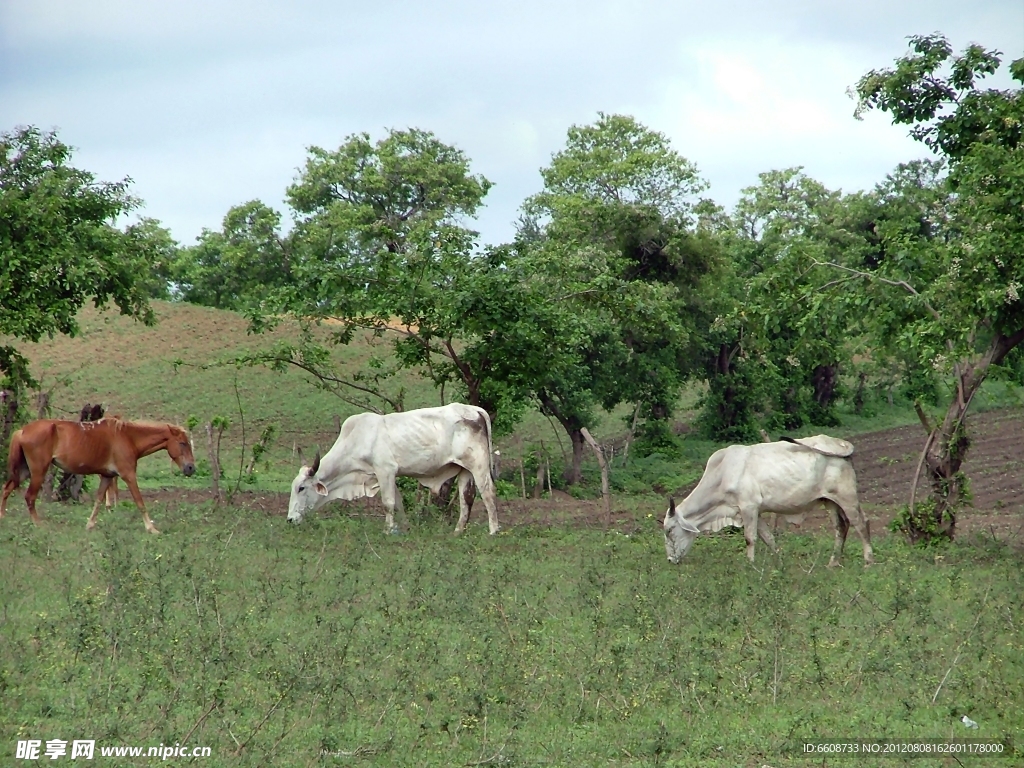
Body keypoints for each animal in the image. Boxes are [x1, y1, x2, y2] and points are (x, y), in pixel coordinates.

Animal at [0, 421, 194, 536]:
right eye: (182, 443)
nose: (191, 468)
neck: (127, 437)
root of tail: (22, 430)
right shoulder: (129, 475)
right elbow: (140, 501)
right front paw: (152, 528)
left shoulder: (107, 476)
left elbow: (99, 500)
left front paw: (90, 525)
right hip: (38, 472)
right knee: (29, 497)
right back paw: (38, 524)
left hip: (24, 471)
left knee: (6, 488)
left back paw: (3, 516)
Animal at [288, 403, 499, 536]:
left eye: (301, 488)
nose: (290, 520)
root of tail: (474, 410)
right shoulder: (386, 475)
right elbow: (398, 503)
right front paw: (404, 528)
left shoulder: (385, 470)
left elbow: (388, 503)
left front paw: (388, 530)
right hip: (464, 469)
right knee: (466, 498)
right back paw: (458, 531)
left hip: (478, 465)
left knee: (488, 493)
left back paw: (494, 530)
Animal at [663, 436, 872, 569]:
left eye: (669, 531)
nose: (670, 560)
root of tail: (839, 443)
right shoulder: (754, 511)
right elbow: (768, 538)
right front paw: (780, 563)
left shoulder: (748, 507)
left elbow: (750, 538)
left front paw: (750, 565)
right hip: (830, 501)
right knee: (841, 527)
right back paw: (833, 563)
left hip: (847, 497)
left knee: (861, 524)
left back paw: (868, 561)